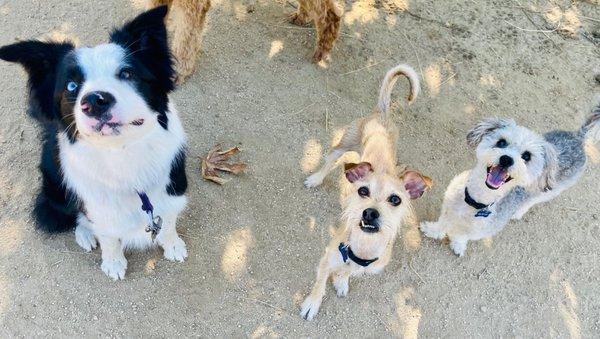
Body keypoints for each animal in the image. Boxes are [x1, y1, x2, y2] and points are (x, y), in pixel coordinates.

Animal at [0, 6, 188, 280]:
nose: (95, 101)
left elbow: (169, 218)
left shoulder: (173, 185)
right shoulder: (98, 205)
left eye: (126, 73)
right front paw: (113, 262)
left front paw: (173, 244)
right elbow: (108, 234)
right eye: (71, 85)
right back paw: (85, 234)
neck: (123, 155)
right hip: (55, 185)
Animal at [300, 63, 432, 322]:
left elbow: (348, 272)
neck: (362, 248)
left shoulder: (364, 268)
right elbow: (319, 284)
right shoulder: (326, 258)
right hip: (345, 143)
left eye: (395, 199)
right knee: (330, 161)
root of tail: (381, 115)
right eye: (363, 190)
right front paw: (312, 303)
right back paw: (316, 178)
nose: (370, 213)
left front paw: (341, 281)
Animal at [422, 110, 600, 256]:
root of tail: (578, 137)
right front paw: (432, 230)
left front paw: (458, 244)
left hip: (549, 192)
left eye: (527, 156)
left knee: (532, 201)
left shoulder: (482, 230)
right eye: (501, 142)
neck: (475, 202)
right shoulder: (449, 208)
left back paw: (518, 212)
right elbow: (443, 223)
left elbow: (462, 235)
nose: (506, 159)